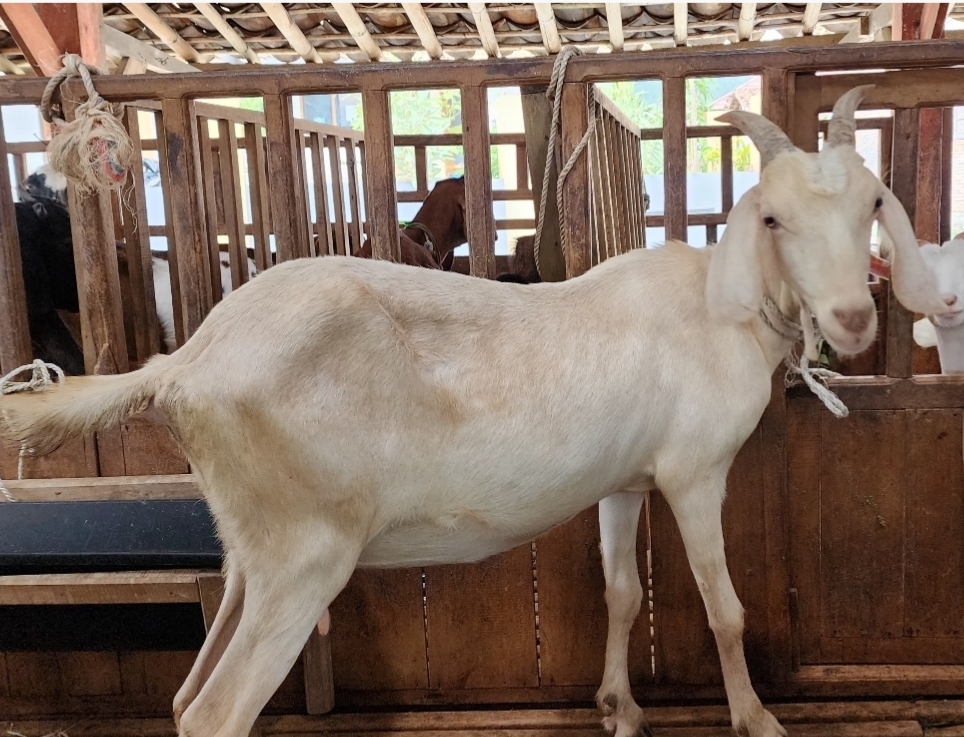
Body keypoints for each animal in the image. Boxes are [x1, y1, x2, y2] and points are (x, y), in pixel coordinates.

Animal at [0, 86, 950, 737]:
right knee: (215, 711)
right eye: (774, 217)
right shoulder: (692, 472)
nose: (853, 319)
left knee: (186, 692)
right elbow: (726, 609)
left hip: (250, 552)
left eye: (873, 201)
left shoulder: (625, 480)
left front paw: (619, 705)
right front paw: (757, 718)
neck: (721, 307)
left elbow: (620, 594)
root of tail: (185, 360)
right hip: (303, 556)